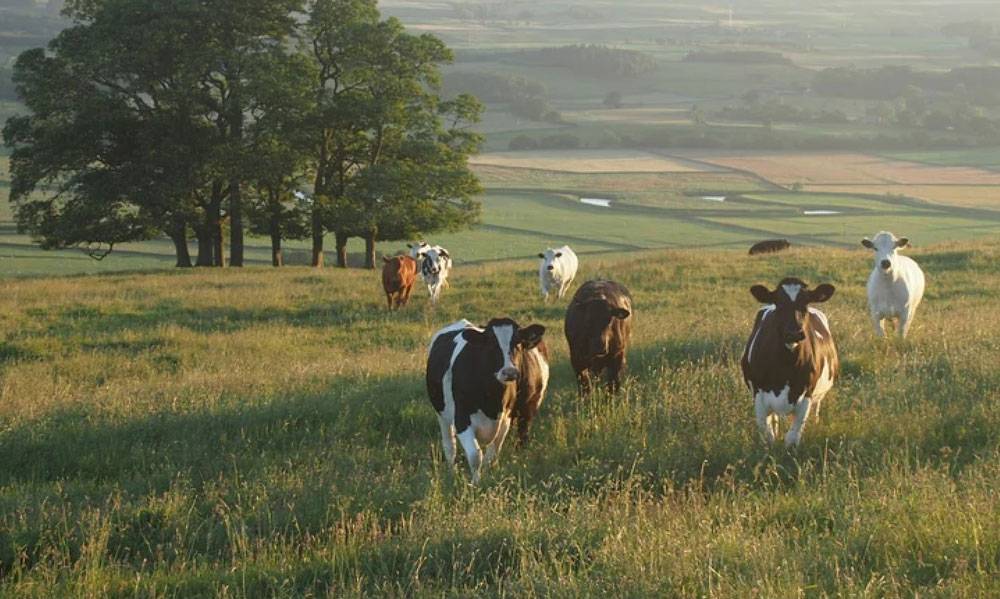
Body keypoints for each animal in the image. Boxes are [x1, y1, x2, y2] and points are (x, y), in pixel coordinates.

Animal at [426, 318, 548, 484]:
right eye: (491, 344)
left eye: (518, 342)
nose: (509, 372)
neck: (492, 400)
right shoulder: (461, 419)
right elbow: (475, 455)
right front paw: (475, 483)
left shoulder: (505, 419)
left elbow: (491, 455)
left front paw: (489, 477)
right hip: (441, 414)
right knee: (450, 447)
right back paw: (452, 473)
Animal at [740, 278, 839, 447]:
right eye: (779, 304)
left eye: (805, 303)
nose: (794, 333)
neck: (785, 365)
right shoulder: (758, 395)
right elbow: (768, 436)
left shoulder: (806, 395)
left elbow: (792, 438)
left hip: (818, 396)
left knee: (816, 409)